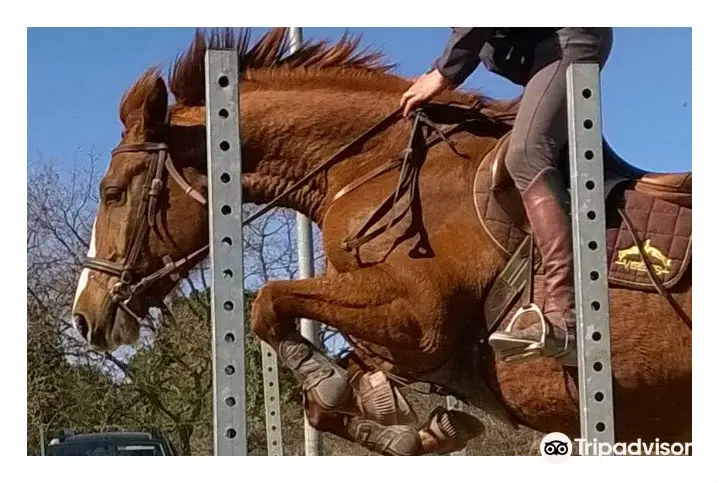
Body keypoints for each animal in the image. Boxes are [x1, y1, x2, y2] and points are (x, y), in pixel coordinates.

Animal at [69, 28, 692, 456]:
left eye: (114, 192)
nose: (84, 317)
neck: (370, 164)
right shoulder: (400, 335)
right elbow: (327, 399)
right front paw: (408, 424)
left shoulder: (420, 316)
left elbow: (268, 301)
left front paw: (330, 382)